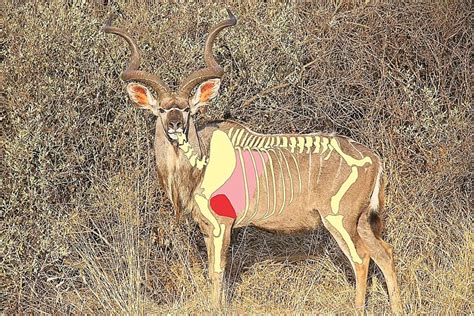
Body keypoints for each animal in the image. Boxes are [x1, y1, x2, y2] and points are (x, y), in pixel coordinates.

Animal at [103, 9, 400, 312]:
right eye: (162, 109)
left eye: (187, 109)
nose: (175, 125)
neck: (201, 162)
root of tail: (375, 160)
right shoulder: (207, 229)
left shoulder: (222, 225)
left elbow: (218, 271)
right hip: (360, 221)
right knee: (384, 252)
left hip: (339, 219)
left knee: (361, 259)